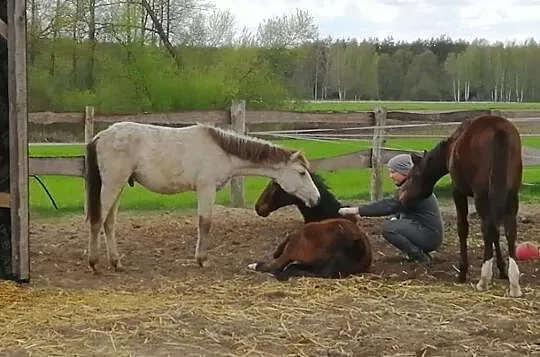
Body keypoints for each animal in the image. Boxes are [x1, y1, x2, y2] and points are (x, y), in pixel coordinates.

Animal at [398, 114, 520, 298]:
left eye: (412, 176)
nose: (401, 198)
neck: (452, 146)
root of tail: (499, 129)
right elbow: (497, 234)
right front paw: (502, 270)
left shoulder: (458, 192)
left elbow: (463, 228)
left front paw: (462, 272)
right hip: (511, 193)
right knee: (508, 229)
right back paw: (514, 283)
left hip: (482, 195)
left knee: (489, 228)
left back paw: (484, 280)